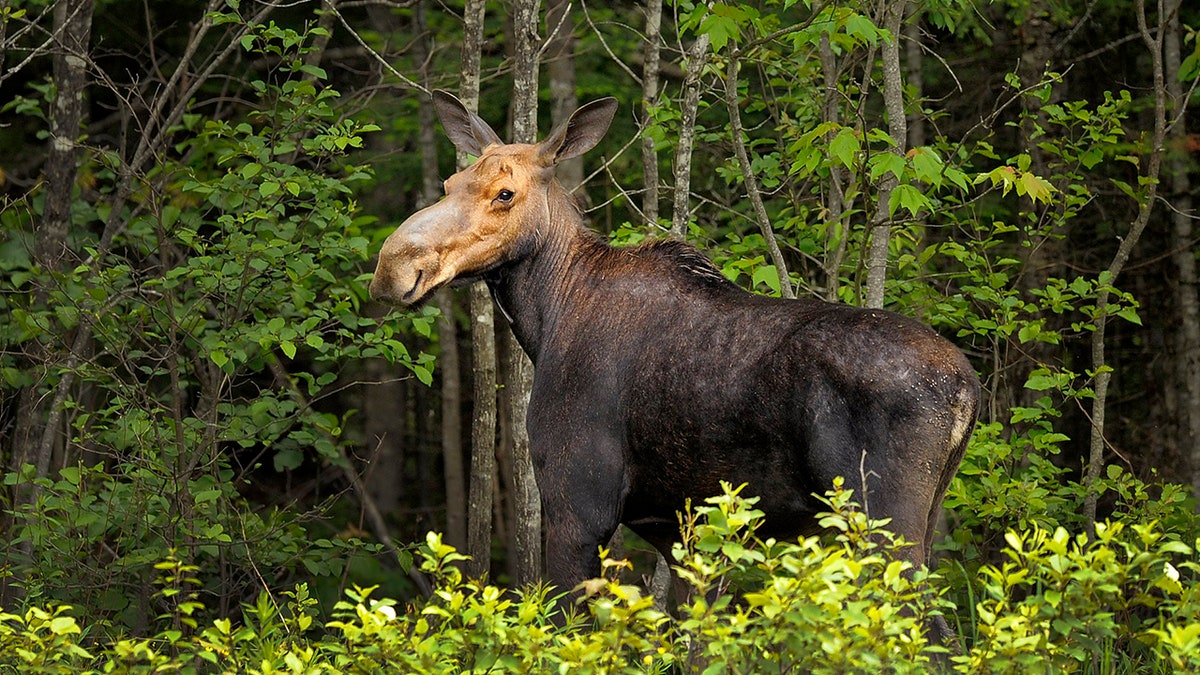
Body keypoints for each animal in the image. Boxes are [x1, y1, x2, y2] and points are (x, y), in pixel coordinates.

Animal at [369, 90, 979, 634]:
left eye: (504, 193)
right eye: (449, 185)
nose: (393, 267)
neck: (547, 316)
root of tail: (967, 387)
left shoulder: (577, 504)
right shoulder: (678, 532)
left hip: (881, 518)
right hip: (923, 517)